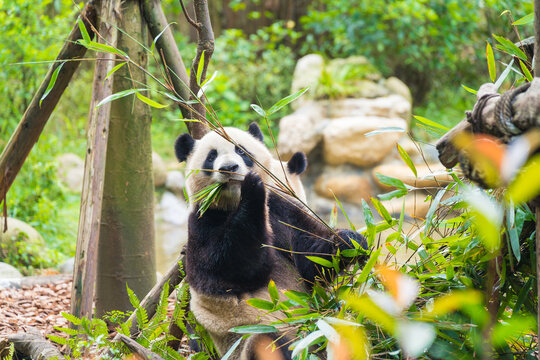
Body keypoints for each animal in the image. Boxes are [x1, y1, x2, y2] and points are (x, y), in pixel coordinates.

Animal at [173, 124, 368, 360]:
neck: (233, 202)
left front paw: (351, 242)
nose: (229, 168)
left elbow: (310, 261)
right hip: (252, 338)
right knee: (269, 341)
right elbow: (229, 270)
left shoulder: (281, 209)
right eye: (211, 157)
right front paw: (252, 190)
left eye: (241, 150)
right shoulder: (203, 223)